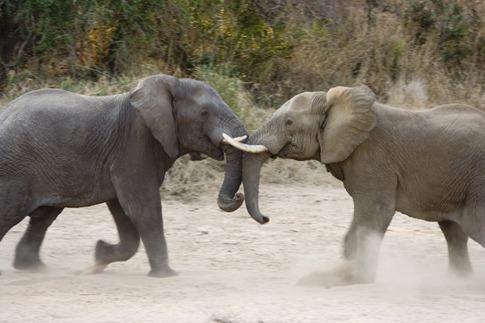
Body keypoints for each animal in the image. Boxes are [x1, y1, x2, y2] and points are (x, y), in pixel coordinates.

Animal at [0, 74, 248, 278]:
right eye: (205, 113)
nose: (239, 196)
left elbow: (123, 209)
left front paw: (98, 257)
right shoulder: (134, 145)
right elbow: (143, 207)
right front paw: (167, 275)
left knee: (45, 215)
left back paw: (32, 268)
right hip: (15, 168)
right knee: (11, 212)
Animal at [225, 85, 484, 288]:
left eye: (289, 122)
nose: (265, 218)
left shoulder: (373, 158)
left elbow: (376, 213)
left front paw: (354, 280)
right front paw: (339, 275)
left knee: (471, 225)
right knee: (453, 231)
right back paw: (459, 281)